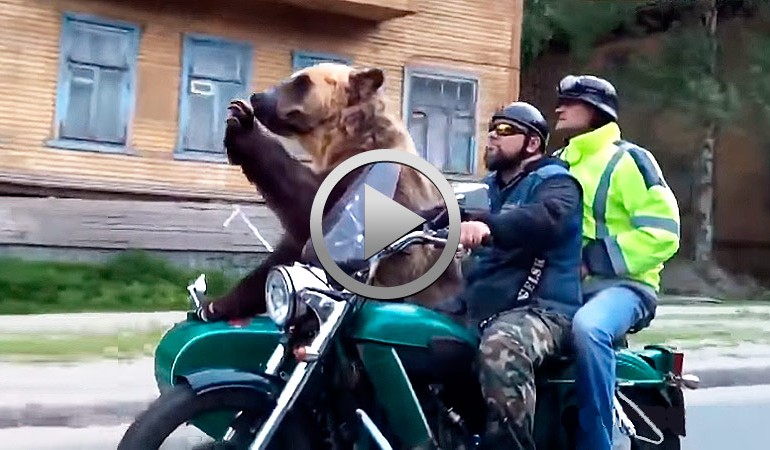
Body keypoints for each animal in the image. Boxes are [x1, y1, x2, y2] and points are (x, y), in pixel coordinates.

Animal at [201, 63, 464, 322]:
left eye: (301, 81)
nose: (257, 97)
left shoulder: (370, 182)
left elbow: (310, 206)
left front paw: (241, 124)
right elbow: (289, 254)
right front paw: (215, 305)